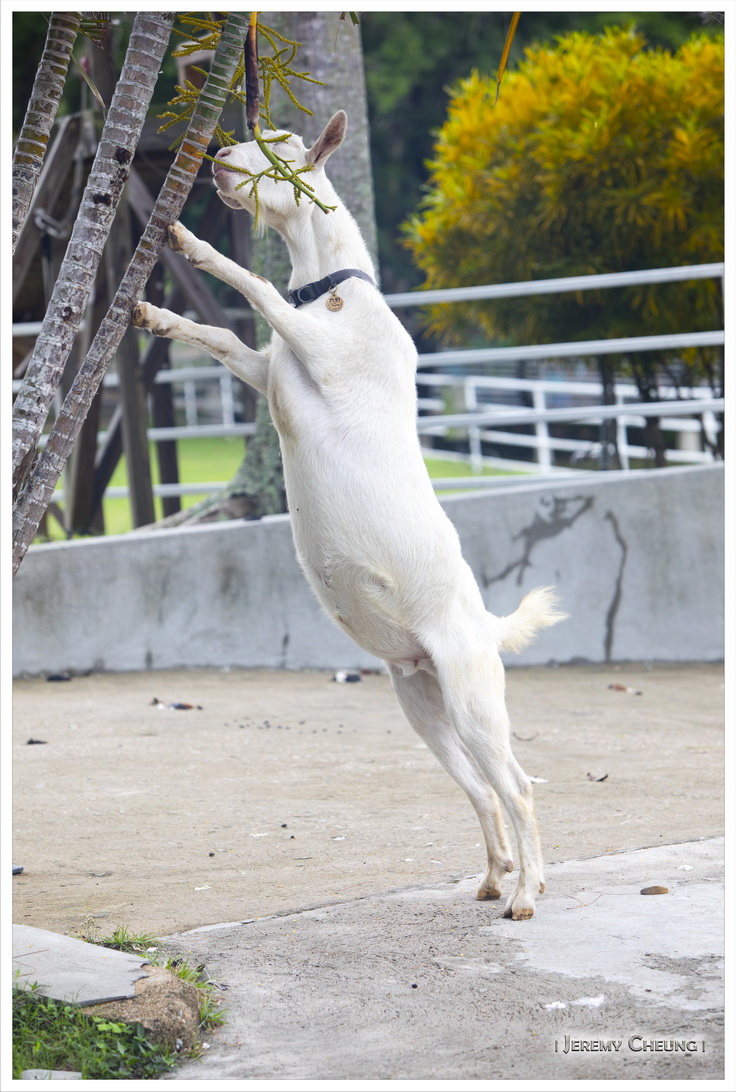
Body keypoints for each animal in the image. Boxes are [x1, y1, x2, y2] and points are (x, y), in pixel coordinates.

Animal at [132, 111, 566, 919]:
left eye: (277, 144)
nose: (216, 154)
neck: (333, 293)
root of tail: (483, 625)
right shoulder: (269, 367)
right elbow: (226, 338)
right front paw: (156, 313)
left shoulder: (320, 352)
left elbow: (255, 286)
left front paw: (191, 242)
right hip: (421, 703)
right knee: (481, 791)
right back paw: (494, 877)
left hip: (472, 700)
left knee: (518, 787)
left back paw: (527, 892)